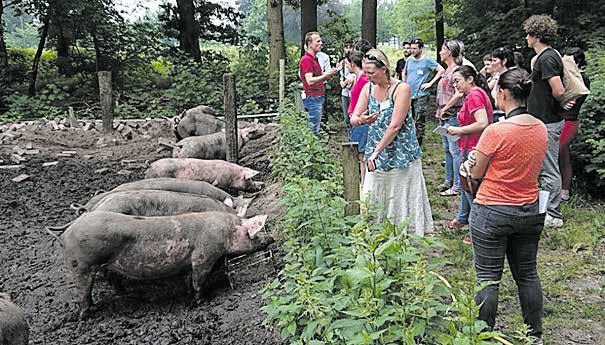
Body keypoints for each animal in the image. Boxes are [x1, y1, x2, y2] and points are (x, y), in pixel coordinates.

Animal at [58, 211, 272, 318]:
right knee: (83, 292)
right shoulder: (203, 256)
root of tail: (71, 227)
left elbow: (188, 281)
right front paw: (201, 302)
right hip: (81, 264)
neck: (226, 230)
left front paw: (188, 296)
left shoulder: (188, 263)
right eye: (255, 232)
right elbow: (198, 281)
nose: (272, 237)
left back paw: (94, 308)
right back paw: (85, 316)